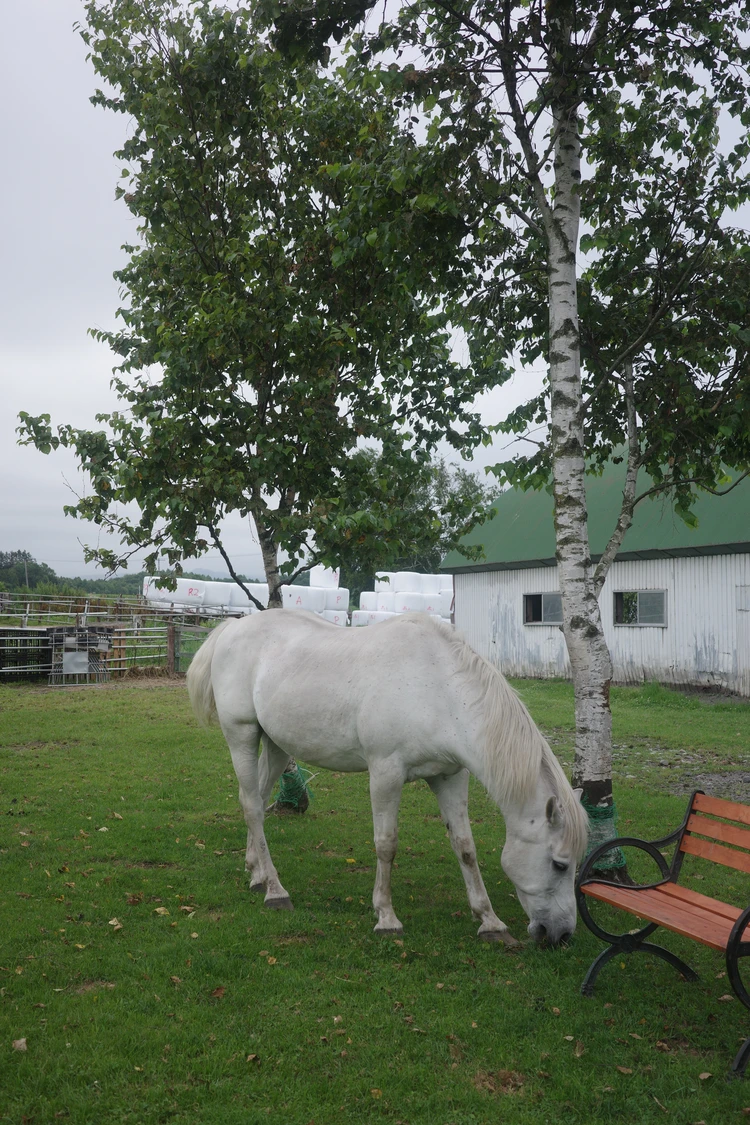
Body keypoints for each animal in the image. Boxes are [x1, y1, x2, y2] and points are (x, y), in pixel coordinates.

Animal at [187, 610, 588, 947]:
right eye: (559, 864)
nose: (563, 934)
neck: (438, 688)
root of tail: (231, 627)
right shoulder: (385, 773)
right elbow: (386, 844)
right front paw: (386, 917)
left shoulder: (450, 777)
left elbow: (465, 846)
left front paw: (489, 921)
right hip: (241, 734)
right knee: (252, 806)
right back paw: (275, 890)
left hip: (276, 745)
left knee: (255, 797)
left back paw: (256, 872)